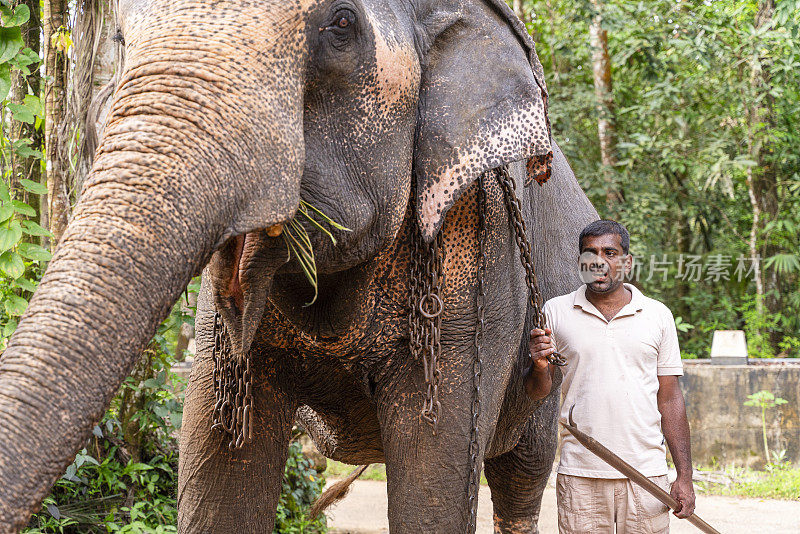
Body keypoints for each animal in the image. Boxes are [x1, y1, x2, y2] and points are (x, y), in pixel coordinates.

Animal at [0, 0, 592, 532]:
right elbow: (219, 468)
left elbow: (434, 484)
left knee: (522, 474)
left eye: (342, 24)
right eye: (122, 38)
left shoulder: (475, 263)